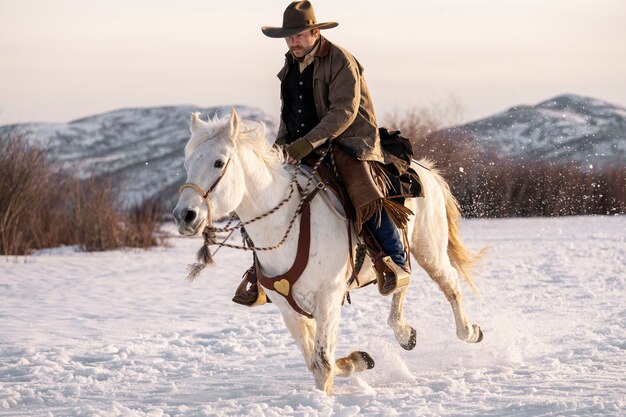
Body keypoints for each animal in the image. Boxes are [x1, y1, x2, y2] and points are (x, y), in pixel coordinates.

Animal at [171, 108, 482, 394]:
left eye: (219, 162)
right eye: (188, 163)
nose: (184, 216)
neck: (286, 223)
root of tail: (425, 169)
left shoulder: (329, 297)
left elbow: (323, 363)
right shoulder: (288, 307)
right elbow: (318, 360)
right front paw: (359, 360)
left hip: (430, 250)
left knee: (450, 286)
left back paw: (469, 332)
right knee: (401, 283)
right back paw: (404, 333)